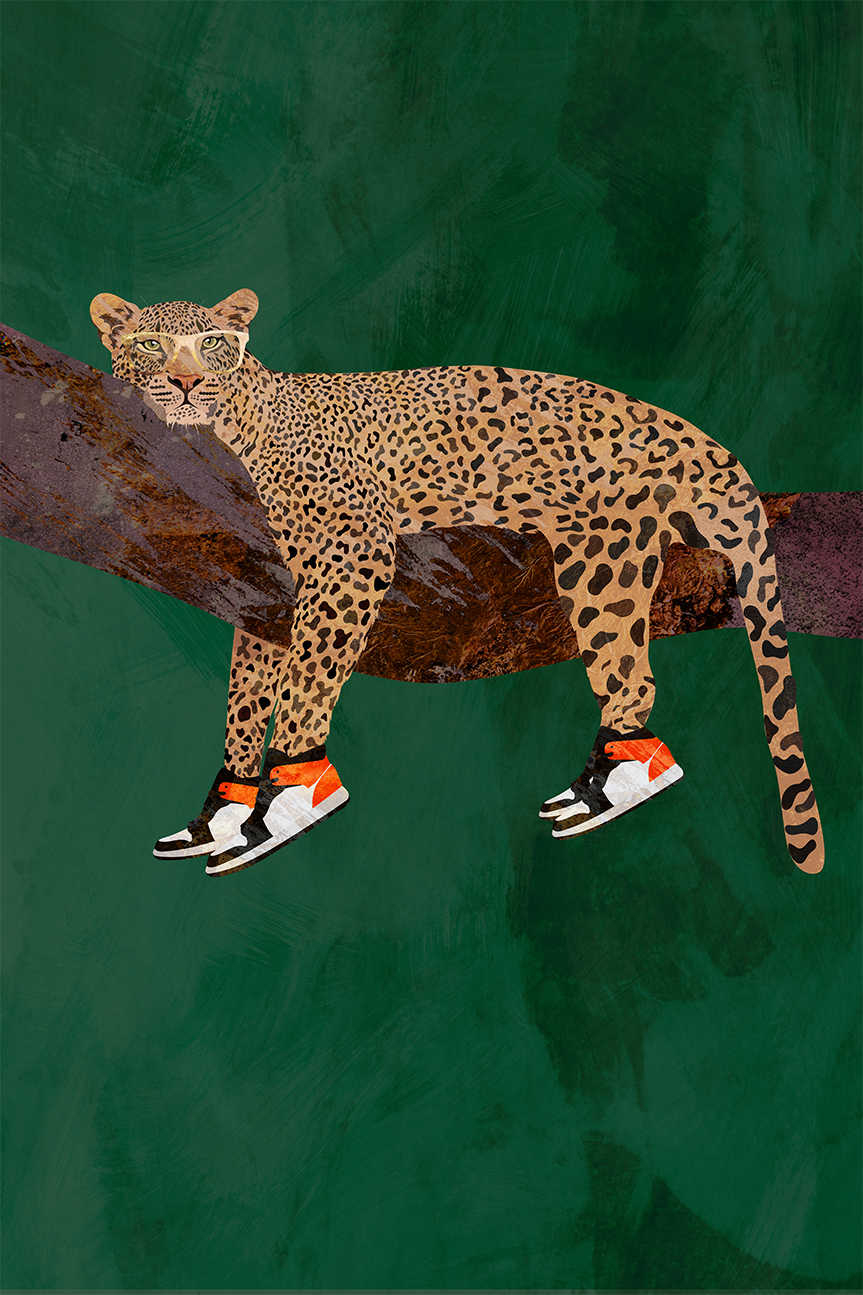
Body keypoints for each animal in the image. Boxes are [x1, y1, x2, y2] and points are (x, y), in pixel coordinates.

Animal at [90, 288, 825, 877]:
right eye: (150, 343)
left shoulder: (354, 552)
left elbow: (306, 680)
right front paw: (223, 812)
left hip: (600, 555)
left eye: (212, 345)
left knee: (631, 675)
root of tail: (698, 438)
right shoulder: (266, 584)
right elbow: (248, 697)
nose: (185, 383)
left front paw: (284, 801)